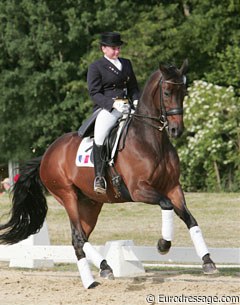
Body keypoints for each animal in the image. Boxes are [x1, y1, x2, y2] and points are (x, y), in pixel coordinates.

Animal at [0, 59, 218, 288]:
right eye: (166, 92)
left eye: (184, 92)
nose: (177, 130)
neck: (151, 140)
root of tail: (47, 155)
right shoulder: (139, 190)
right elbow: (166, 205)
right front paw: (163, 244)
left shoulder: (173, 187)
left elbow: (190, 219)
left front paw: (207, 261)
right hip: (66, 195)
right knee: (78, 236)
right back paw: (93, 279)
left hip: (90, 204)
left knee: (80, 238)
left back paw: (103, 269)